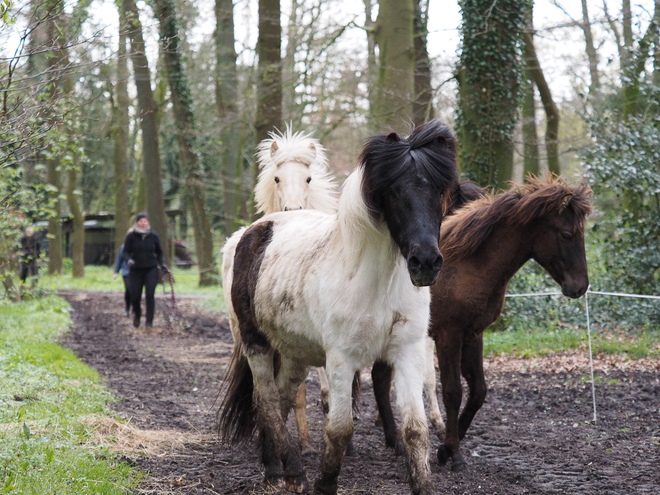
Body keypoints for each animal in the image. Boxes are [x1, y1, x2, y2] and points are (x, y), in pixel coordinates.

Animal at [219, 121, 456, 495]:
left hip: (294, 353)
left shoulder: (407, 351)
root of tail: (253, 231)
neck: (377, 282)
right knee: (267, 400)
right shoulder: (341, 358)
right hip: (255, 343)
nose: (426, 263)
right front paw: (324, 482)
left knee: (282, 398)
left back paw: (281, 469)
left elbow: (416, 430)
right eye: (394, 191)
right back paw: (287, 472)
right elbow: (340, 428)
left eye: (439, 191)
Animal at [372, 175, 592, 472]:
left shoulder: (474, 334)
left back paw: (393, 440)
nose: (579, 287)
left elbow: (478, 391)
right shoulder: (449, 336)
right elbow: (453, 391)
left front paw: (445, 449)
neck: (468, 265)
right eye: (567, 235)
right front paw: (455, 454)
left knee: (380, 378)